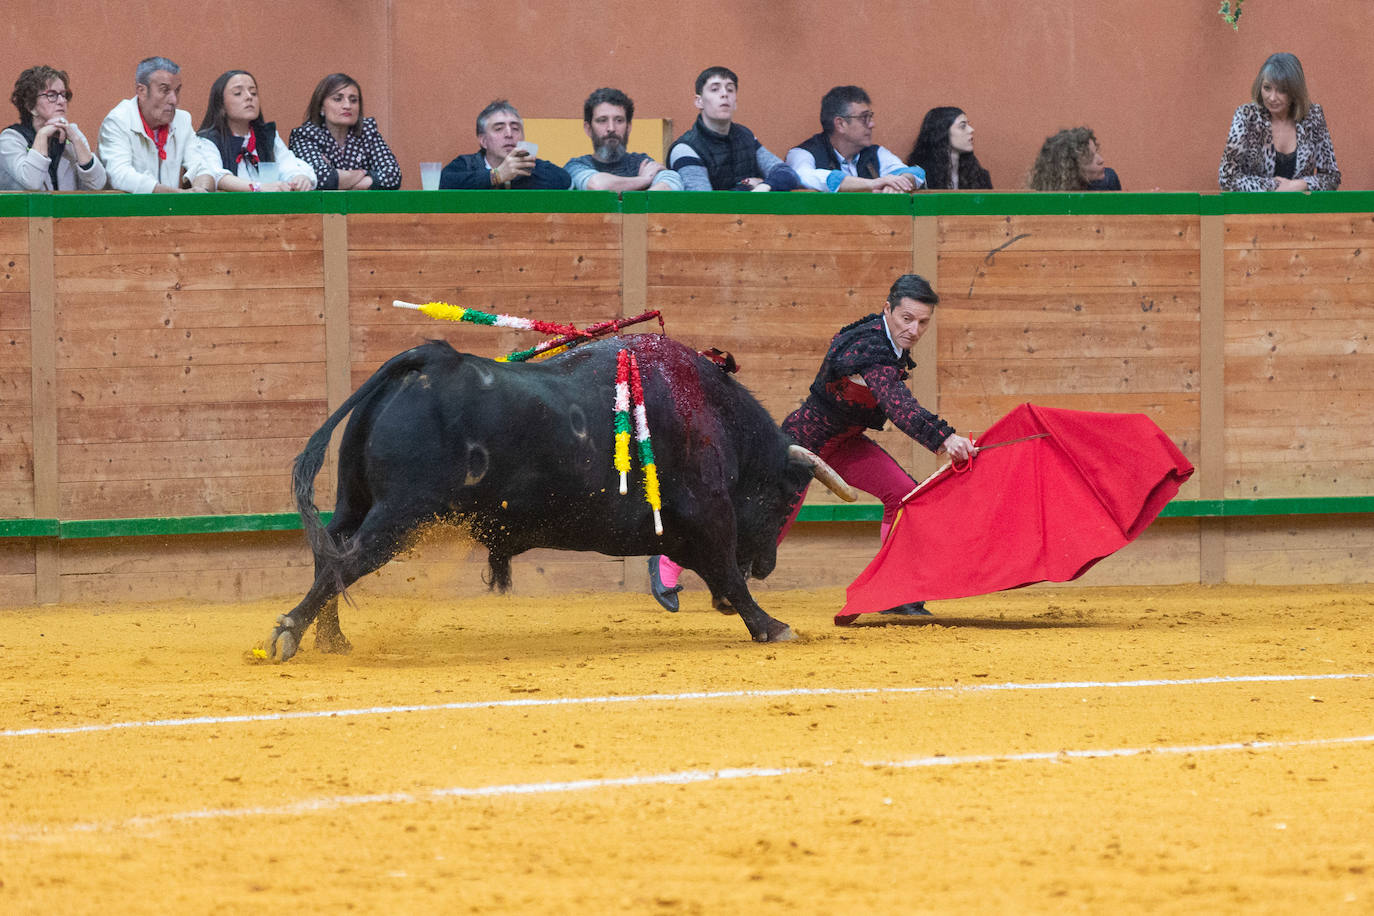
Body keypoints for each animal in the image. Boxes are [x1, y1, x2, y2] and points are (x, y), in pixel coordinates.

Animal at [262, 335, 851, 659]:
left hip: (357, 503)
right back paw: (290, 632)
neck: (715, 417)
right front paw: (773, 626)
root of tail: (429, 360)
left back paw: (330, 639)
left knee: (329, 551)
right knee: (346, 560)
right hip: (399, 517)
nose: (769, 565)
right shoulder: (710, 517)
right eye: (785, 500)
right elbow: (728, 573)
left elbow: (720, 574)